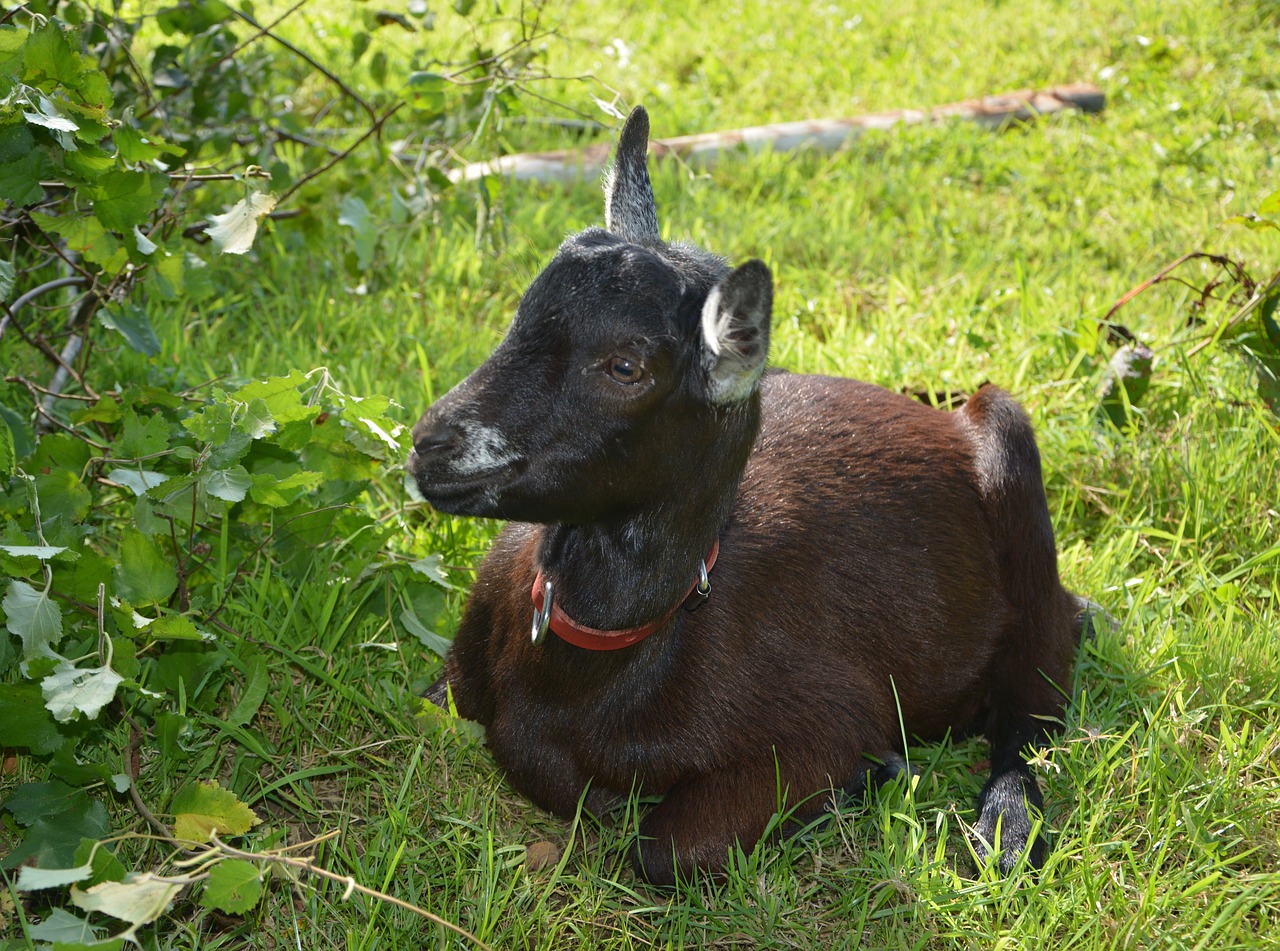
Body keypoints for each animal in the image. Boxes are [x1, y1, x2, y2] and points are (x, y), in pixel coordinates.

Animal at [412, 104, 1080, 885]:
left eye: (626, 366)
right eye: (522, 310)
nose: (431, 444)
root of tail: (941, 415)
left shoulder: (822, 722)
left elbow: (665, 847)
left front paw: (864, 774)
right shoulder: (455, 679)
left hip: (1016, 475)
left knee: (1033, 709)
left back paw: (1006, 828)